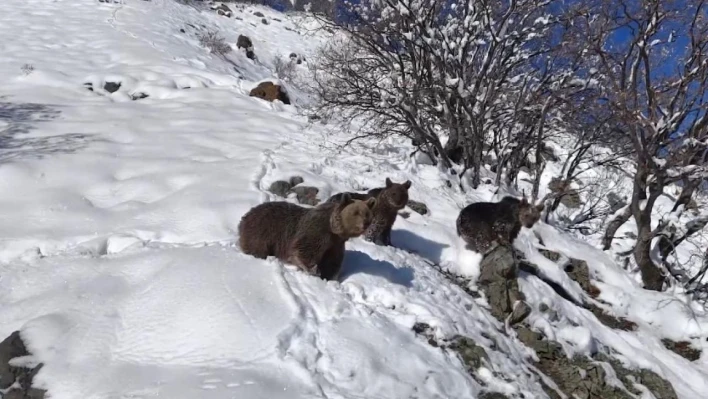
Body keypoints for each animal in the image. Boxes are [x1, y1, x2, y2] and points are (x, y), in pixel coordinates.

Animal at [236, 195, 376, 282]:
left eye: (367, 214)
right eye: (356, 212)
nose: (365, 224)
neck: (334, 230)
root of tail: (245, 217)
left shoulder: (336, 244)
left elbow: (332, 262)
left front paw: (328, 276)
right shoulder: (319, 232)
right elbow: (305, 249)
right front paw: (314, 270)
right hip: (262, 232)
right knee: (257, 248)